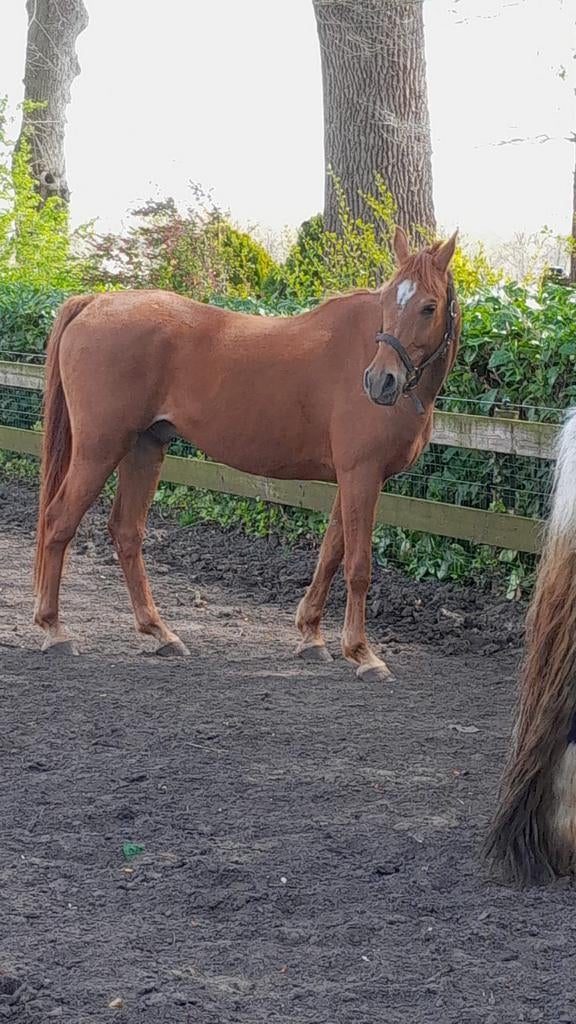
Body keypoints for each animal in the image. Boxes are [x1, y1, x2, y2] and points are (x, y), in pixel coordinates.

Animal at [33, 227, 460, 679]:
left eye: (429, 307)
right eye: (386, 302)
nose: (380, 382)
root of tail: (95, 302)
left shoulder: (353, 478)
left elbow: (330, 553)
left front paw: (311, 634)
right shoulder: (362, 474)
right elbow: (358, 565)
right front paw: (362, 653)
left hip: (144, 447)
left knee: (126, 531)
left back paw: (160, 633)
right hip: (99, 449)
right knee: (59, 521)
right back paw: (55, 629)